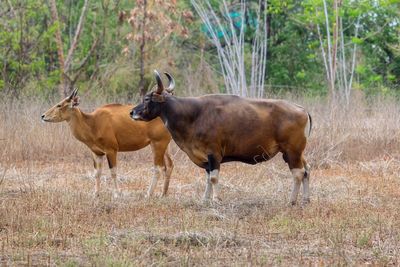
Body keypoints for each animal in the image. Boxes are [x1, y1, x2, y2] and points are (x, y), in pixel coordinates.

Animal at [41, 89, 173, 198]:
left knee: (158, 168)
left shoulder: (111, 150)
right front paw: (96, 194)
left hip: (157, 144)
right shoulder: (97, 153)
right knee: (169, 166)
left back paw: (149, 194)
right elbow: (97, 173)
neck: (93, 123)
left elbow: (113, 172)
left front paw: (117, 194)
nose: (43, 115)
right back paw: (163, 193)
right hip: (163, 146)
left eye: (59, 105)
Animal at [131, 71, 312, 205]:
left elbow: (213, 178)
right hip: (296, 152)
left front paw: (216, 199)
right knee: (306, 169)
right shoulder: (205, 156)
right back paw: (305, 200)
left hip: (292, 150)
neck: (192, 115)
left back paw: (292, 201)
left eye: (146, 99)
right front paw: (205, 199)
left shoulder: (214, 154)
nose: (132, 112)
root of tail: (302, 109)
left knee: (298, 173)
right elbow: (207, 178)